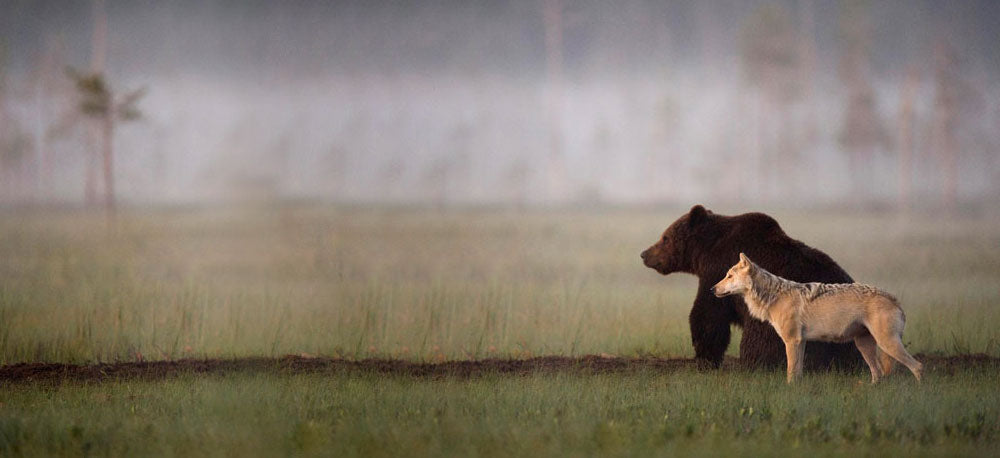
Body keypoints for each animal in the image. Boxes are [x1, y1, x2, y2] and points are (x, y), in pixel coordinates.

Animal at [644, 206, 864, 370]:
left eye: (665, 238)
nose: (644, 254)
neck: (706, 251)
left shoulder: (717, 271)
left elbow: (708, 315)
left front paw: (705, 358)